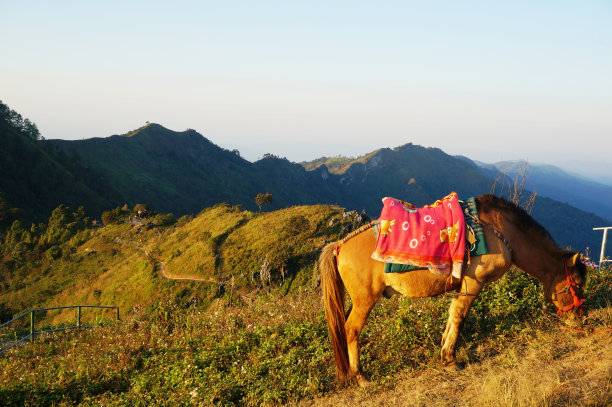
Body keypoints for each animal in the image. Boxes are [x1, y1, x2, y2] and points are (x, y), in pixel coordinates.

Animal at [320, 194, 588, 386]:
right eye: (576, 283)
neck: (501, 232)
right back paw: (360, 375)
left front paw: (444, 351)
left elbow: (452, 316)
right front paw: (450, 359)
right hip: (365, 299)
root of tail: (340, 245)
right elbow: (459, 317)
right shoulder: (473, 283)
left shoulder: (462, 286)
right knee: (351, 330)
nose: (581, 318)